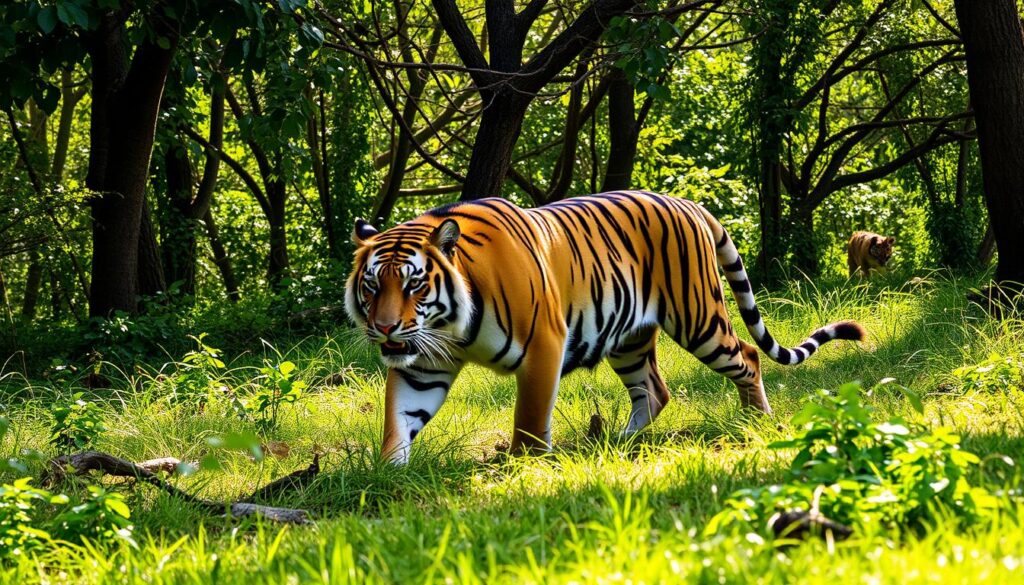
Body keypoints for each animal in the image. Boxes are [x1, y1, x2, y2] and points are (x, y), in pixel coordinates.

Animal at [345, 191, 865, 464]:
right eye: (372, 286)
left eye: (413, 285)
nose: (385, 329)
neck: (449, 324)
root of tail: (689, 202)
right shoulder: (422, 364)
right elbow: (399, 418)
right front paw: (388, 470)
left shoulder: (543, 346)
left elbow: (529, 419)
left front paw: (522, 466)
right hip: (629, 339)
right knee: (654, 390)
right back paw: (619, 443)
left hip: (698, 319)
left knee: (749, 355)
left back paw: (756, 420)